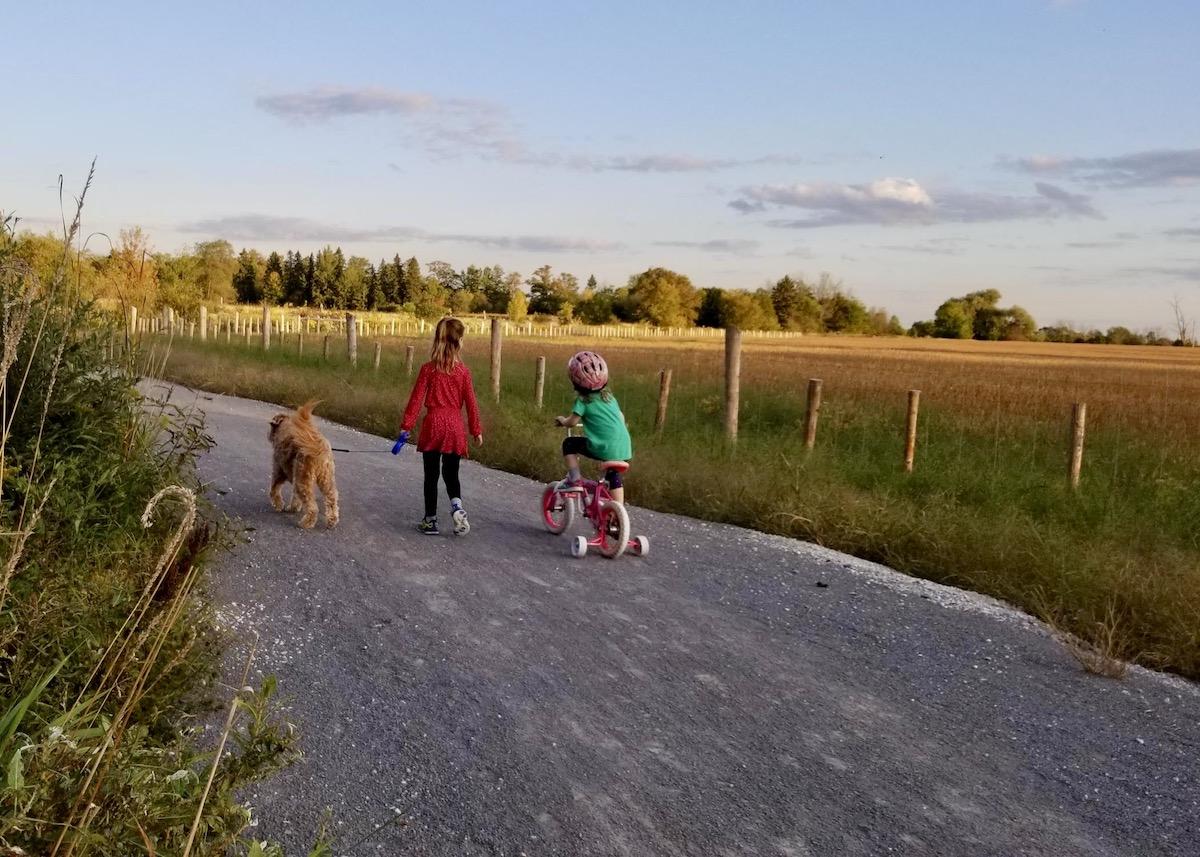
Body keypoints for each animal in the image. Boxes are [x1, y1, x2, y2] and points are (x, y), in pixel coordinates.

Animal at [270, 400, 340, 528]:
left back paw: (306, 523)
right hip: (326, 479)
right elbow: (295, 497)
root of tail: (317, 446)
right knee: (332, 498)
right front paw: (293, 507)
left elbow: (274, 489)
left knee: (313, 508)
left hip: (303, 479)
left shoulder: (279, 470)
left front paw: (279, 505)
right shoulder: (295, 474)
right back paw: (332, 520)